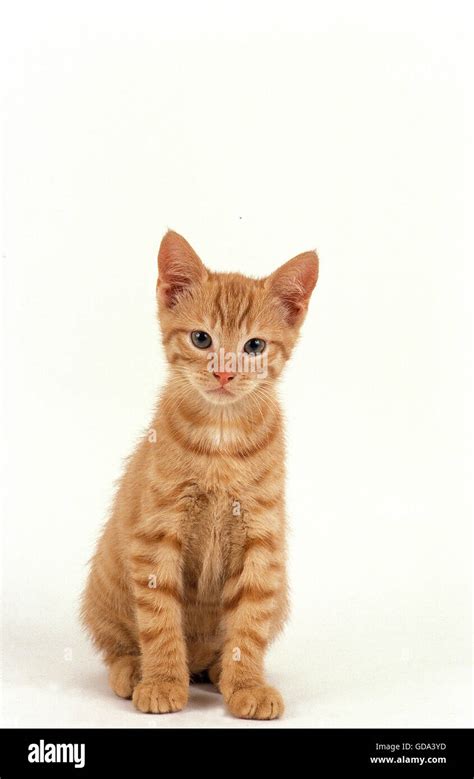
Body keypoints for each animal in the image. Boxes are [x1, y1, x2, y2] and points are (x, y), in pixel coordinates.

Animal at [81, 230, 318, 720]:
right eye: (201, 338)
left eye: (254, 346)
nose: (225, 372)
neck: (220, 441)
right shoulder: (156, 536)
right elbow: (160, 620)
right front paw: (162, 681)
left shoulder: (262, 542)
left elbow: (249, 624)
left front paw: (247, 684)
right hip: (104, 584)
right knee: (115, 643)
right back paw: (134, 670)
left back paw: (219, 669)